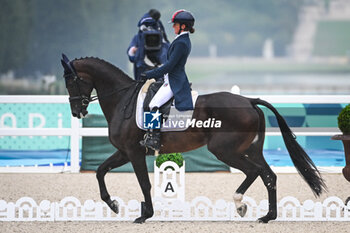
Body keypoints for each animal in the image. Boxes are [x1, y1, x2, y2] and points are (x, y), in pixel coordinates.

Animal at [60, 55, 326, 223]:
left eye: (71, 81)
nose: (76, 112)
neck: (123, 99)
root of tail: (249, 101)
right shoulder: (125, 152)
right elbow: (100, 171)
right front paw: (113, 204)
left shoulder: (134, 153)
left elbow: (144, 183)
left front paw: (145, 215)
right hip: (251, 149)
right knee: (268, 175)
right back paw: (268, 216)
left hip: (225, 150)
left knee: (254, 172)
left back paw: (240, 204)